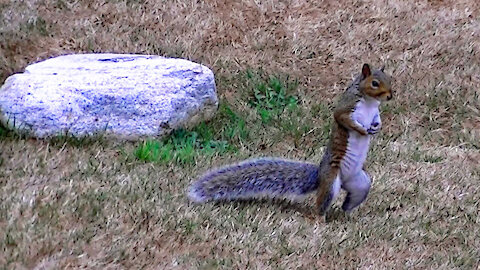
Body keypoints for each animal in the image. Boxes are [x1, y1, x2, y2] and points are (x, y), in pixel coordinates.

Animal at [186, 63, 392, 217]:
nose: (390, 95)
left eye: (389, 78)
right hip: (332, 181)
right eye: (374, 83)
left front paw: (376, 127)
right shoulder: (346, 107)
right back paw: (320, 220)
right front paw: (362, 130)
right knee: (320, 205)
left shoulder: (375, 113)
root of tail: (320, 175)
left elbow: (377, 120)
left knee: (352, 198)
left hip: (360, 183)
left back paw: (346, 213)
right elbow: (343, 118)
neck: (369, 102)